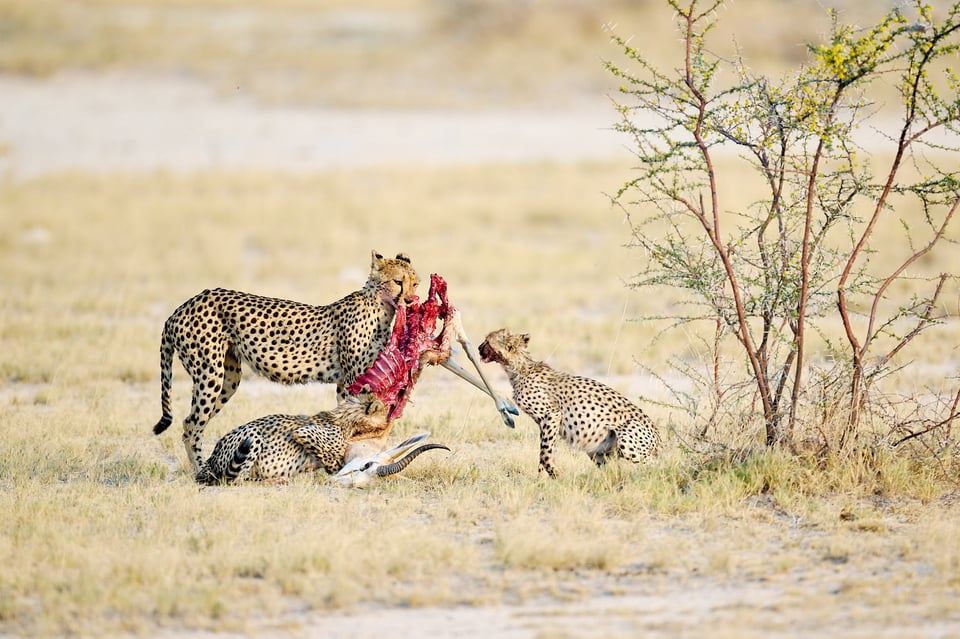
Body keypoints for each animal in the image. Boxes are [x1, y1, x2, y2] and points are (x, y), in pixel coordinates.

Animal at [153, 252, 416, 472]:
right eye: (398, 281)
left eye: (415, 283)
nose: (412, 300)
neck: (381, 307)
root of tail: (184, 306)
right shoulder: (354, 379)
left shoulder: (344, 382)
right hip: (209, 374)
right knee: (191, 425)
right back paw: (201, 471)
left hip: (229, 378)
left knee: (193, 422)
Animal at [478, 328, 660, 478]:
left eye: (487, 340)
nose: (479, 348)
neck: (520, 369)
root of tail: (660, 440)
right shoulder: (548, 423)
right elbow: (545, 452)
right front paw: (542, 479)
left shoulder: (552, 415)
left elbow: (545, 454)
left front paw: (555, 474)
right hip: (597, 449)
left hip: (628, 441)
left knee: (654, 465)